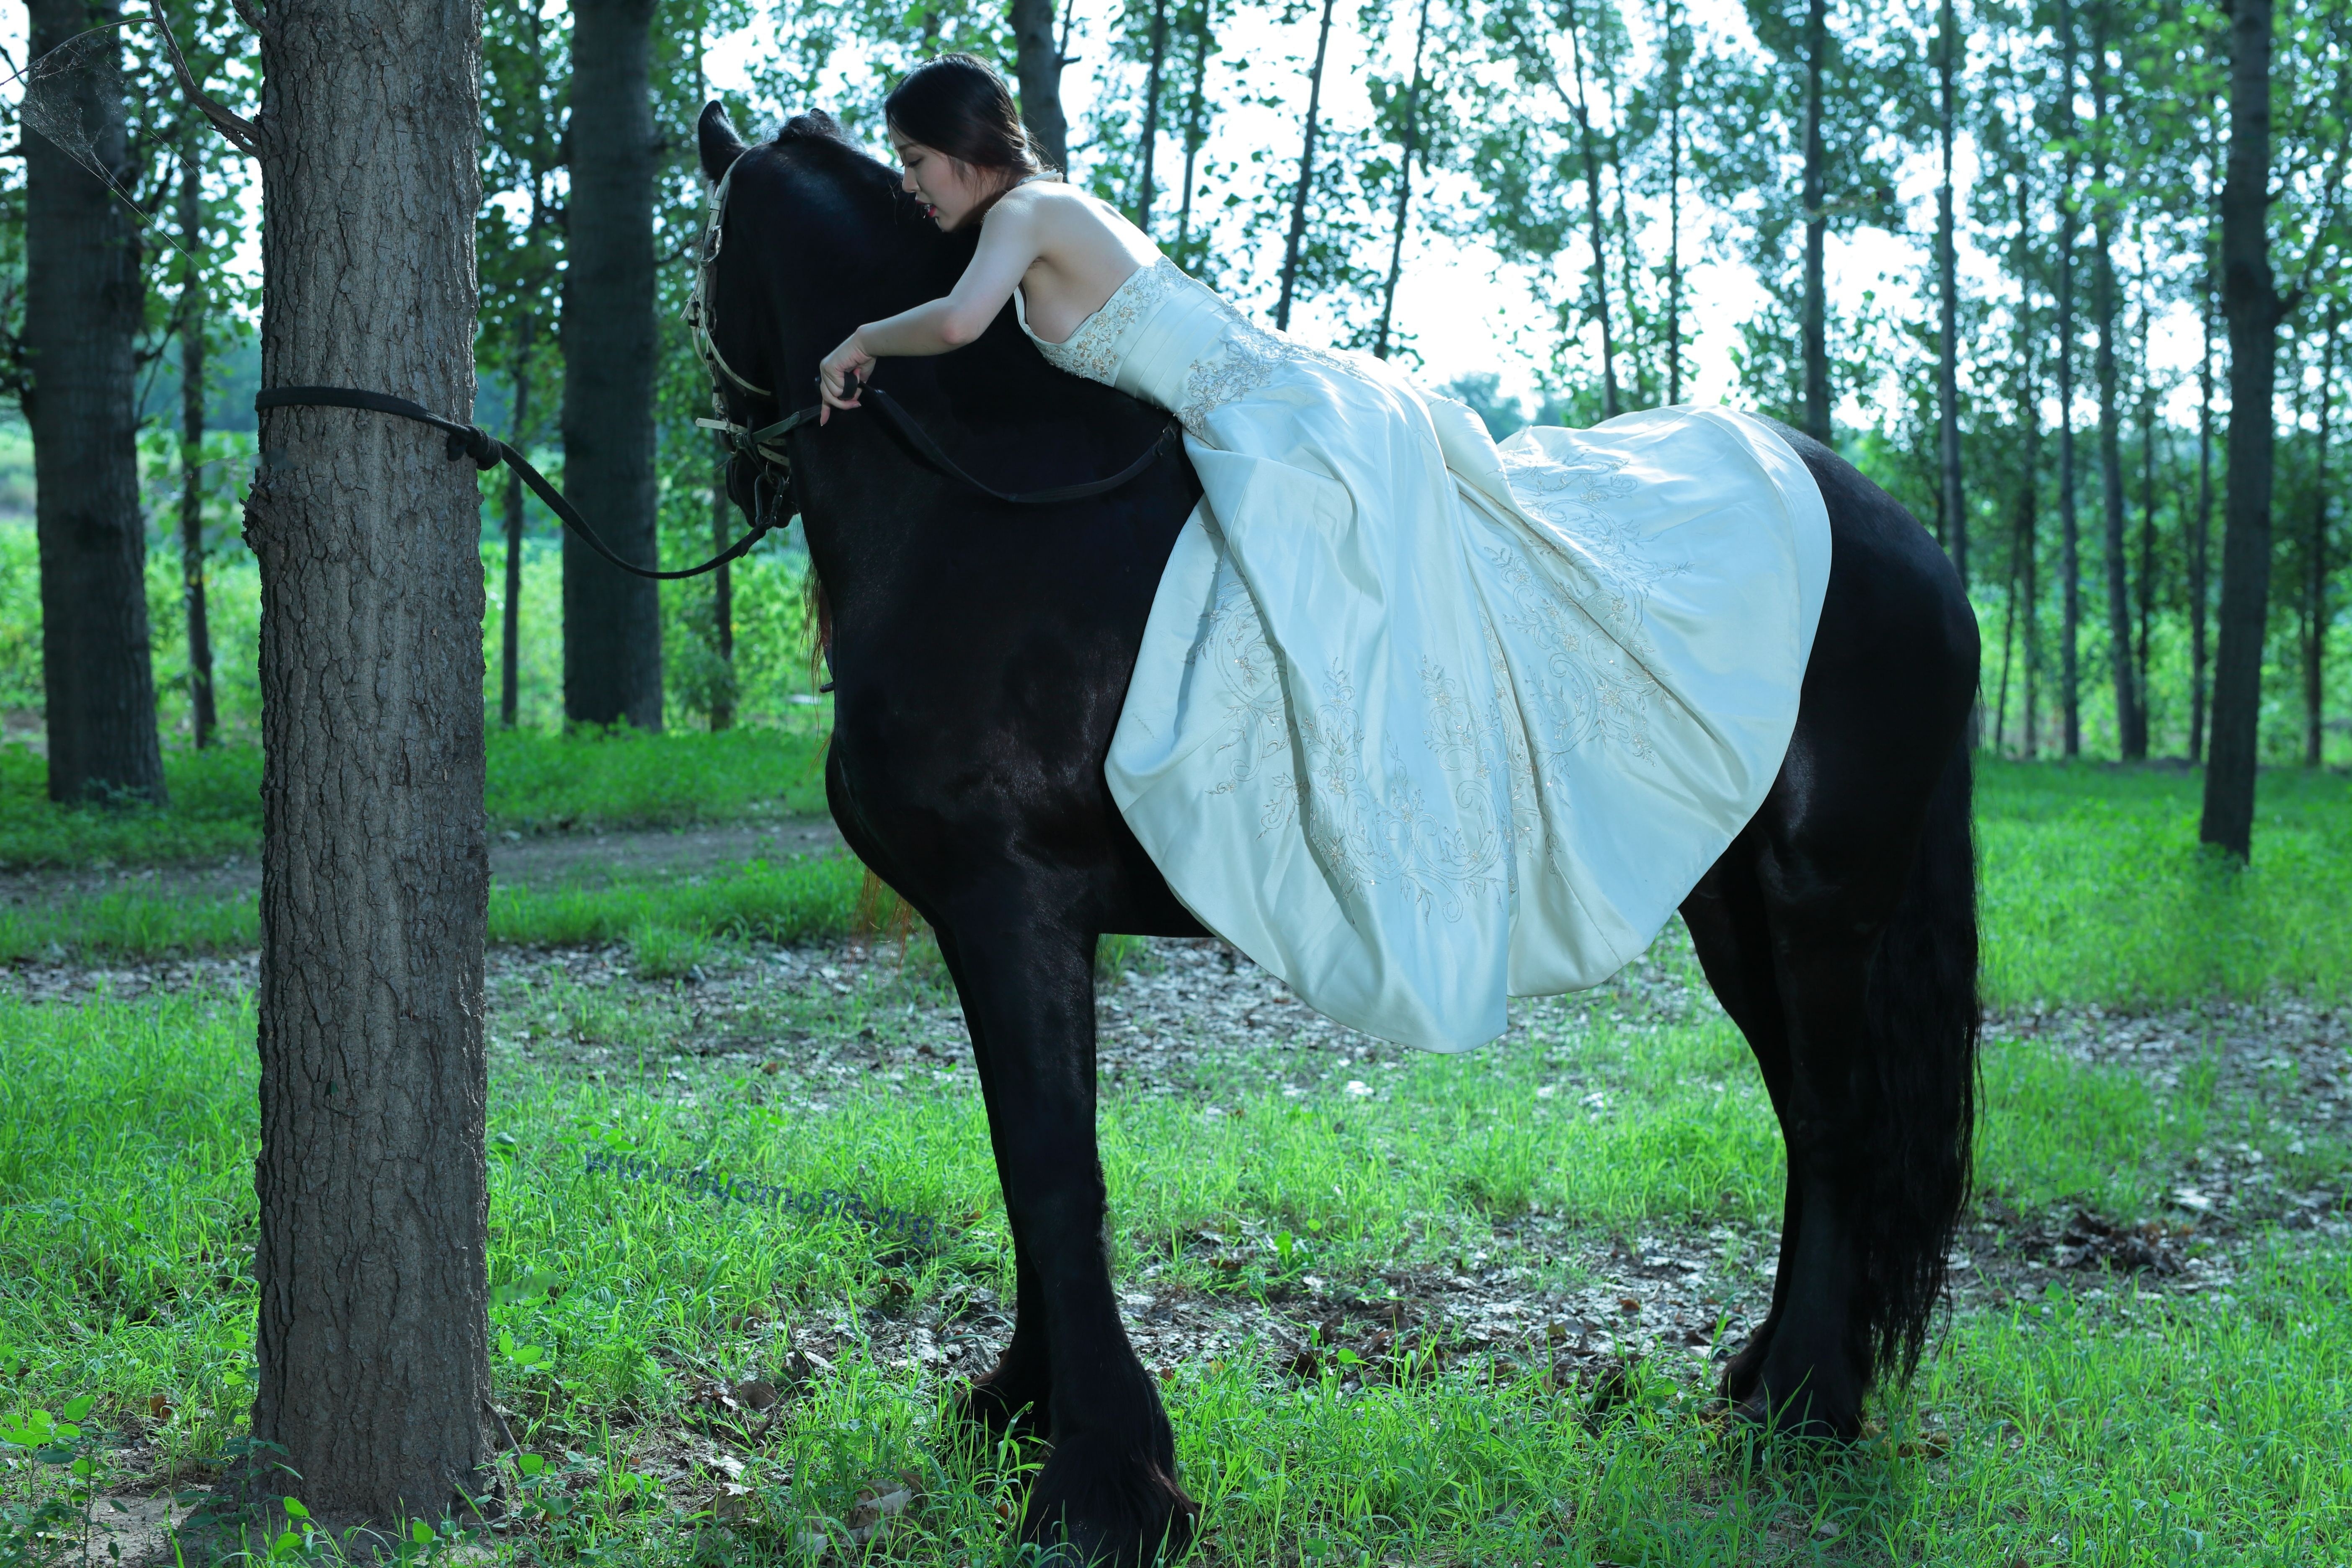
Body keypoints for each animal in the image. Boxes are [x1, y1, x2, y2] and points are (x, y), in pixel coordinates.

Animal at [696, 104, 1985, 1561]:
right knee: (1812, 1122)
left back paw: (1805, 1414)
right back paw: (1779, 1379)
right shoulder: (994, 925)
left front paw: (1099, 1482)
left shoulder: (1012, 904)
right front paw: (1023, 1410)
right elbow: (1028, 1162)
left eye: (701, 261)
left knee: (1831, 1118)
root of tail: (1896, 535)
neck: (984, 508)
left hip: (1827, 896)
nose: (741, 466)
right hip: (1736, 907)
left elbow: (1051, 1166)